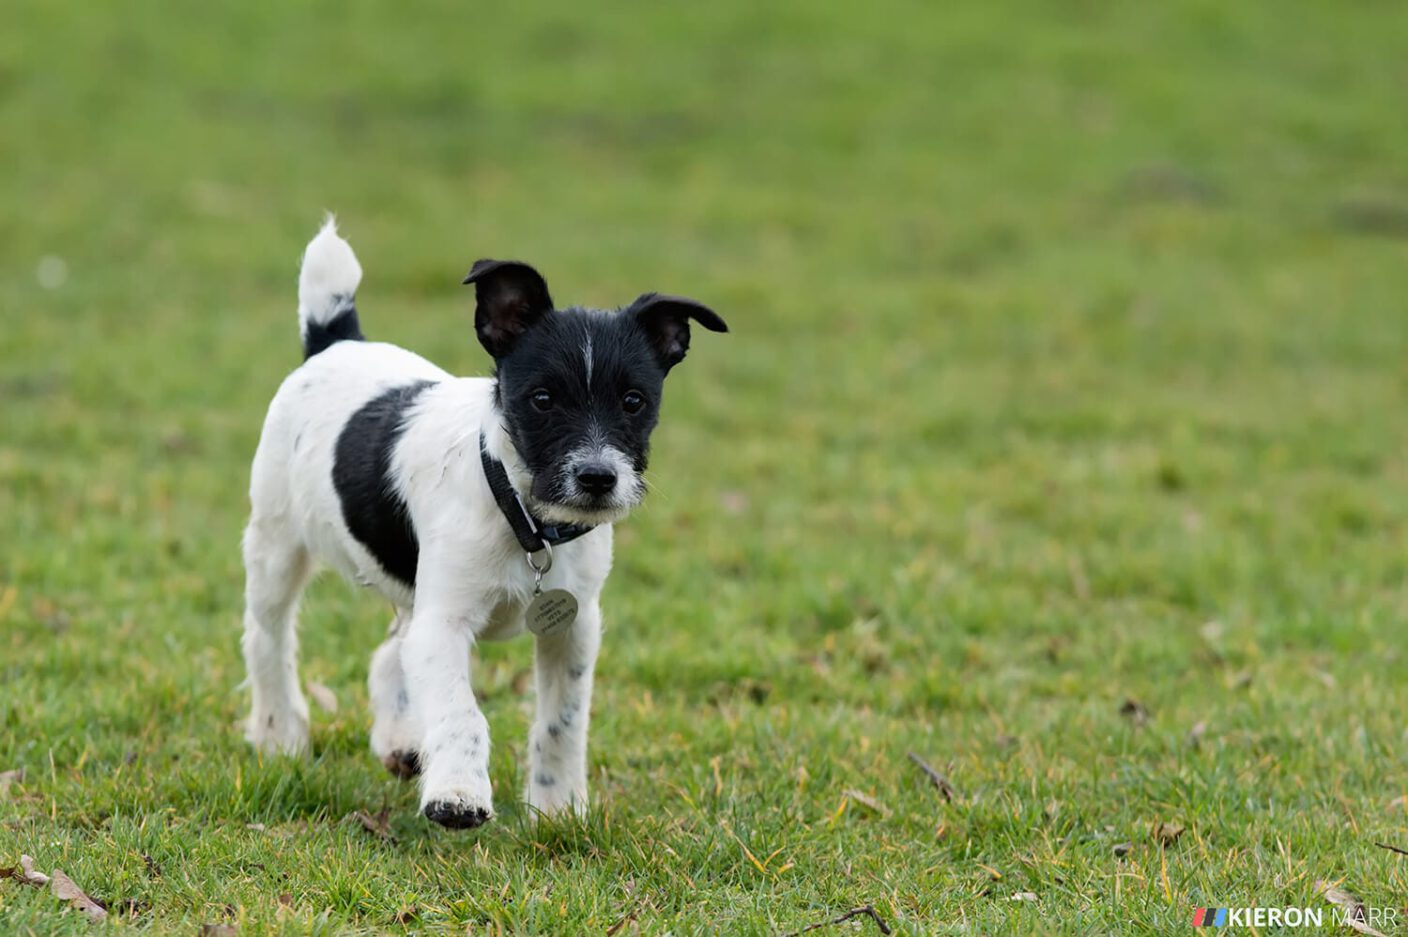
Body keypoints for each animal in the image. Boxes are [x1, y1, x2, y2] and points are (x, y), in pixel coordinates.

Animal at [240, 219, 726, 828]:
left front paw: (558, 806)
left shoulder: (573, 628)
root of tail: (337, 340)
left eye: (634, 401)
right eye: (541, 399)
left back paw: (400, 741)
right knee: (269, 639)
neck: (525, 517)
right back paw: (279, 735)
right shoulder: (445, 622)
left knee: (391, 651)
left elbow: (562, 720)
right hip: (276, 546)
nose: (597, 477)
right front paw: (458, 794)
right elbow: (460, 709)